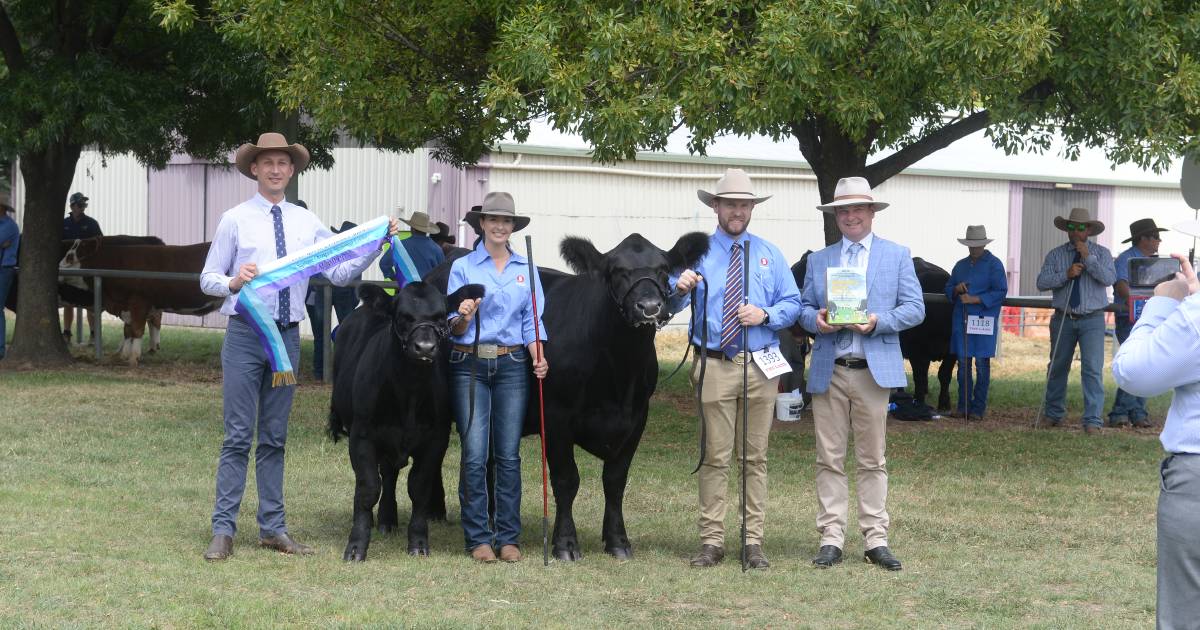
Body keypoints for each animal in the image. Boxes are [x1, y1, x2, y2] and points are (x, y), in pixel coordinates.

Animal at [331, 280, 484, 559]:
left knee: (390, 473)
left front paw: (419, 542)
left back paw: (387, 518)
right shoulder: (362, 435)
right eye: (403, 316)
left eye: (440, 316)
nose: (424, 347)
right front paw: (357, 546)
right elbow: (368, 487)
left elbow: (419, 487)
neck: (408, 391)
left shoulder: (436, 438)